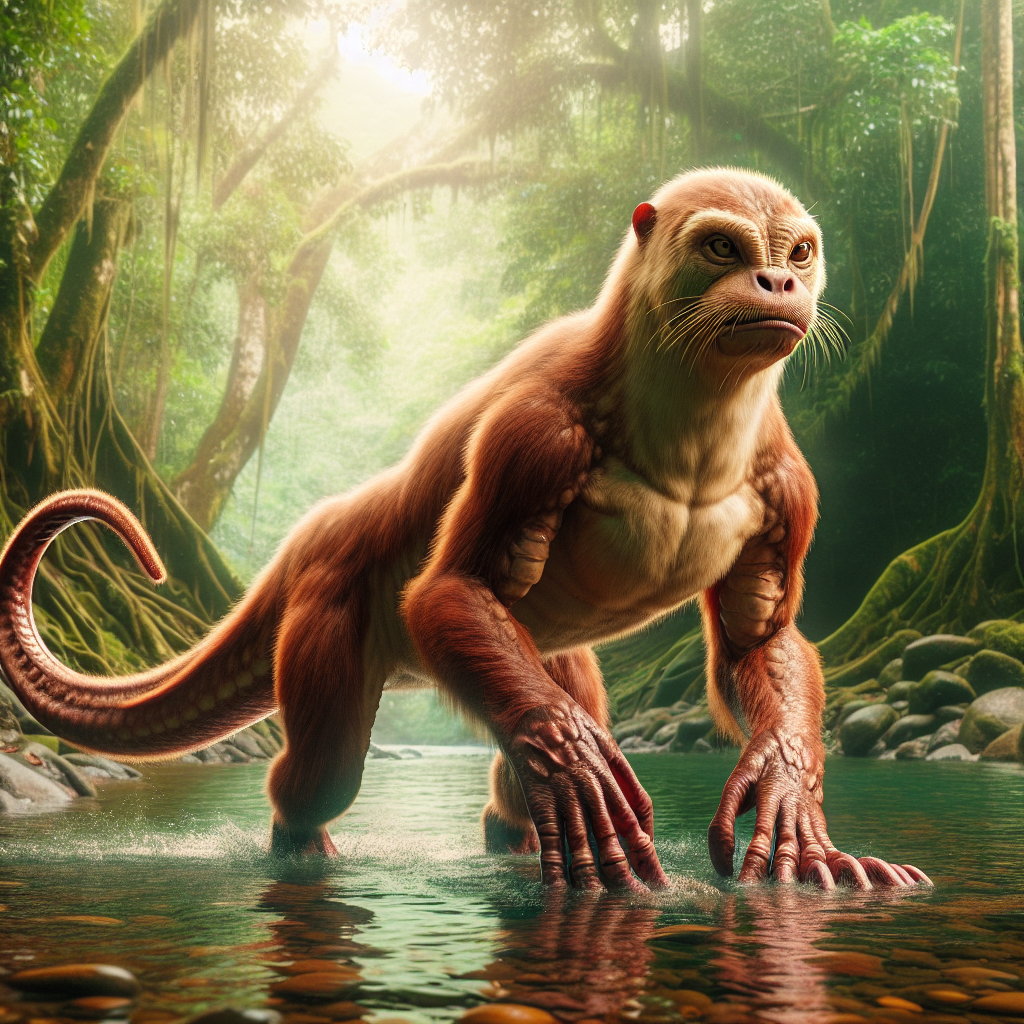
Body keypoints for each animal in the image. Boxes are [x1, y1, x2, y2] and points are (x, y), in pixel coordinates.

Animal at [0, 168, 930, 892]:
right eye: (722, 248)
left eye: (799, 250)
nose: (779, 284)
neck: (688, 445)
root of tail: (318, 532)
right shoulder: (534, 435)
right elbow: (452, 589)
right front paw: (576, 760)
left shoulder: (789, 486)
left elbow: (757, 640)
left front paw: (788, 791)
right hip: (325, 617)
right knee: (322, 771)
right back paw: (305, 848)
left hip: (540, 654)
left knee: (521, 753)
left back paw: (514, 845)